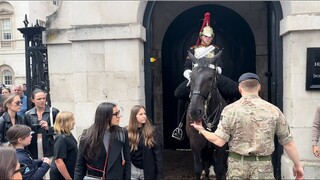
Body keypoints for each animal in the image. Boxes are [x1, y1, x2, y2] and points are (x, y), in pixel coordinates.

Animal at [186, 50, 229, 180]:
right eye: (191, 77)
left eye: (210, 78)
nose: (195, 111)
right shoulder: (195, 144)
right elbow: (197, 169)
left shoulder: (220, 145)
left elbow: (219, 169)